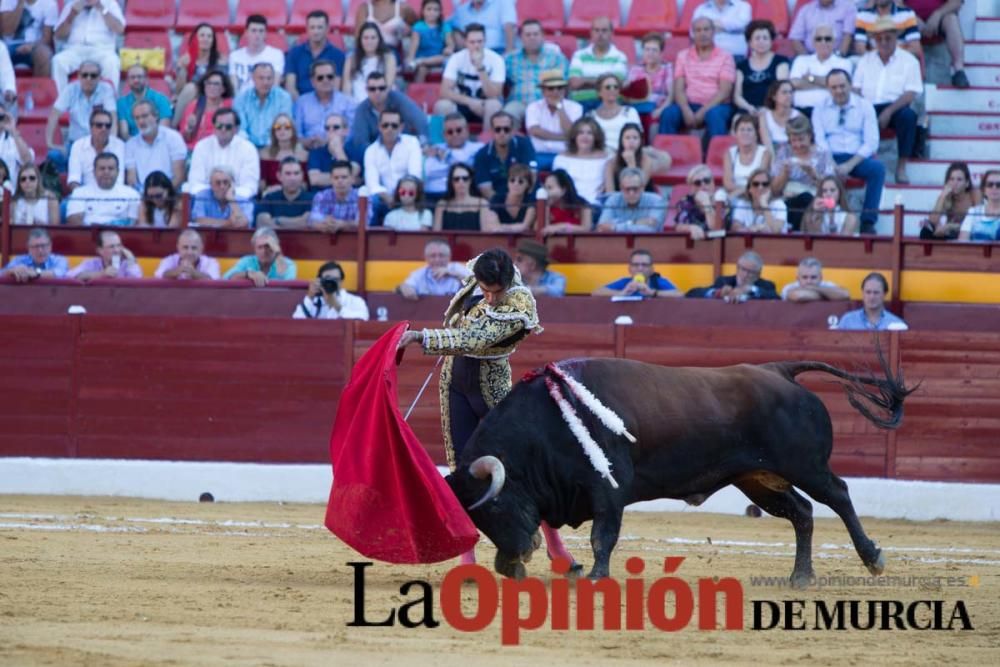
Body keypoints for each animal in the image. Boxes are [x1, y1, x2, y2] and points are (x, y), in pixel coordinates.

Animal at [446, 352, 916, 588]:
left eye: (495, 507)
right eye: (476, 518)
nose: (513, 559)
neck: (547, 422)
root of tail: (778, 370)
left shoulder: (609, 486)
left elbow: (603, 535)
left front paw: (596, 577)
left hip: (806, 466)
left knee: (838, 495)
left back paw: (872, 557)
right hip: (757, 480)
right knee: (802, 513)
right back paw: (800, 576)